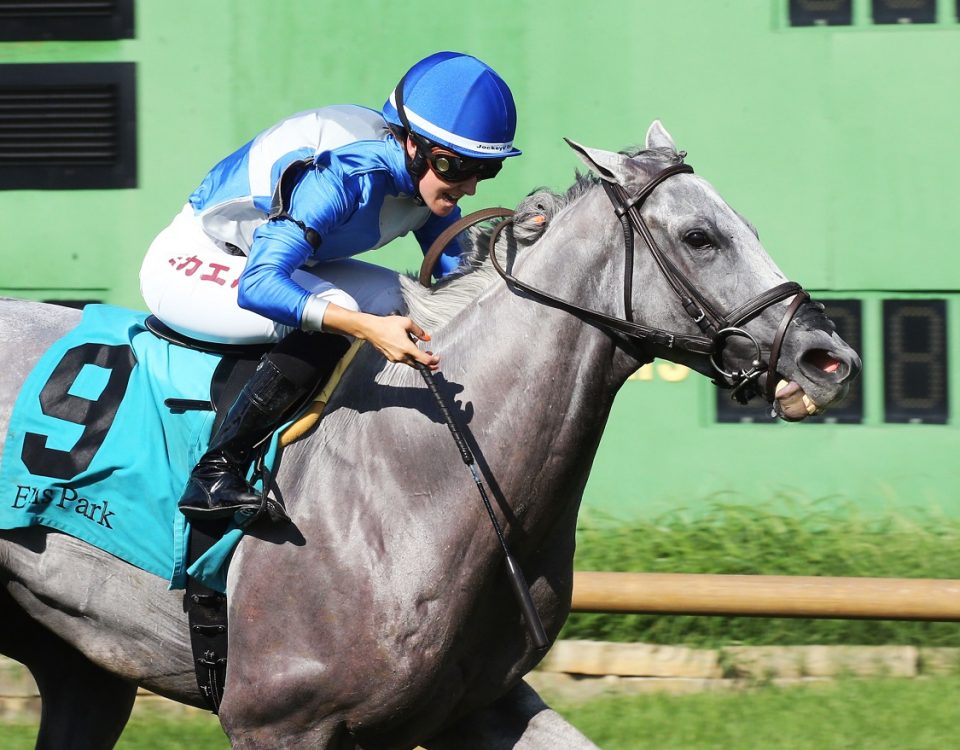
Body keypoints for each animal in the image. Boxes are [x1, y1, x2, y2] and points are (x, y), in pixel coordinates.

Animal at [0, 122, 856, 748]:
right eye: (701, 237)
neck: (428, 475)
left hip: (80, 667)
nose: (827, 359)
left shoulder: (474, 705)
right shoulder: (277, 719)